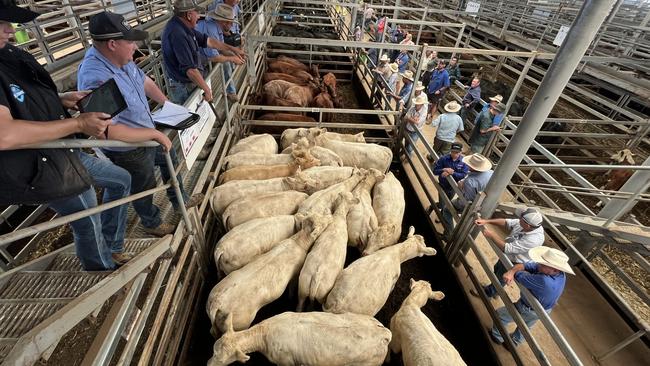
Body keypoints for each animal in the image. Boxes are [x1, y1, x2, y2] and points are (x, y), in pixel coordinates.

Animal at [209, 312, 390, 366]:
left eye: (220, 359)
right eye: (213, 350)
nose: (208, 364)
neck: (264, 333)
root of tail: (386, 334)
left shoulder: (285, 361)